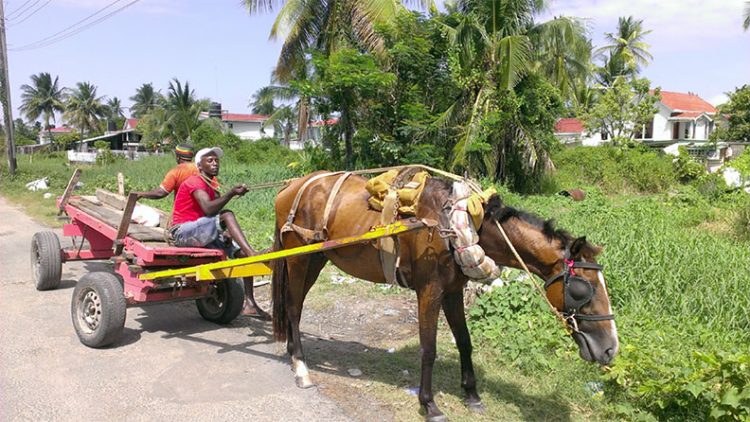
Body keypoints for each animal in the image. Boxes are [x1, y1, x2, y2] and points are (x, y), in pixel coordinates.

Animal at [274, 170, 620, 420]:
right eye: (582, 290)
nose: (610, 349)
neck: (459, 223)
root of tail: (291, 187)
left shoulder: (454, 291)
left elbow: (464, 341)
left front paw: (472, 395)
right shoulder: (430, 290)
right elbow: (429, 349)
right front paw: (429, 404)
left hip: (315, 259)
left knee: (296, 303)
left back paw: (292, 351)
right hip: (298, 257)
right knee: (293, 307)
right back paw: (301, 366)